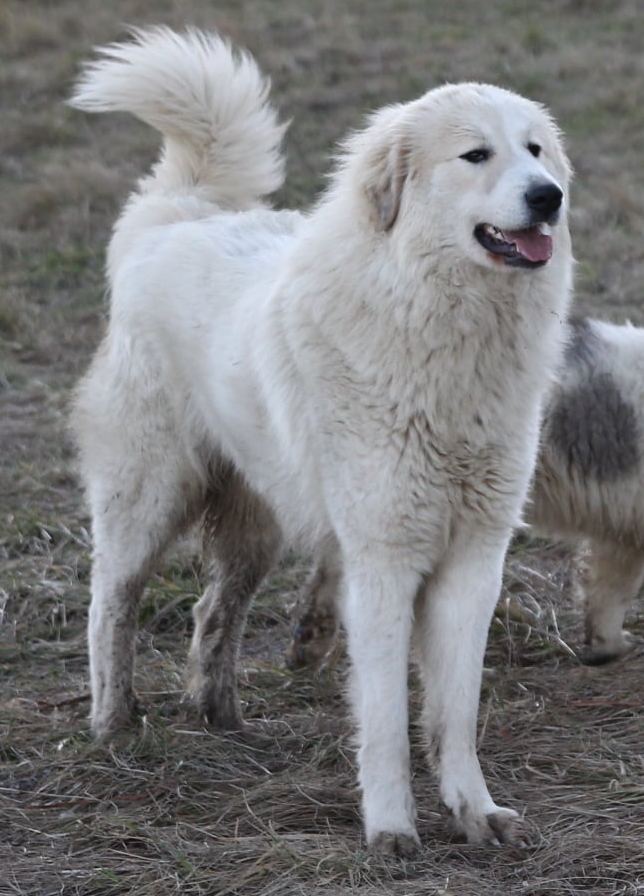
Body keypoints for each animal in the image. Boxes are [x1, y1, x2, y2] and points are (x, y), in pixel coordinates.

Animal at [71, 26, 572, 856]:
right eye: (476, 155)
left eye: (535, 150)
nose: (549, 197)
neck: (439, 324)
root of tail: (175, 217)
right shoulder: (385, 560)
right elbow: (386, 717)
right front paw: (392, 827)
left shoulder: (475, 561)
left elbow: (456, 711)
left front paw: (474, 811)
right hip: (148, 495)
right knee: (112, 600)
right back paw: (112, 723)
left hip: (257, 522)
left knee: (213, 612)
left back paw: (221, 713)